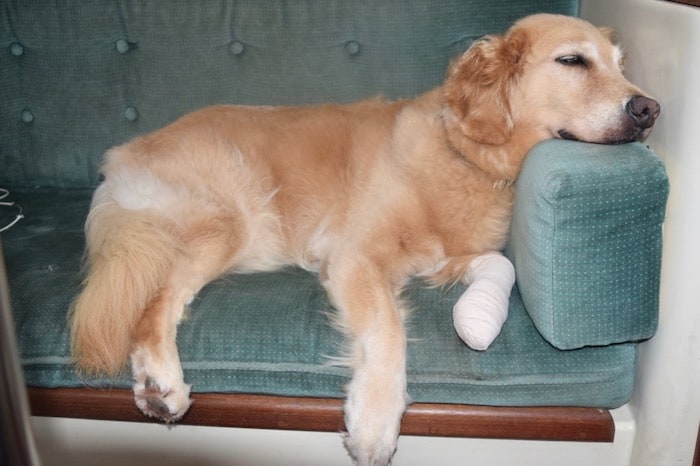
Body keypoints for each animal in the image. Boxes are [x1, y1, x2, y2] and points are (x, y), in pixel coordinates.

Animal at [74, 12, 660, 464]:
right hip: (227, 223)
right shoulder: (356, 256)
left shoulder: (445, 256)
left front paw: (475, 319)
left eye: (621, 66)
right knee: (153, 299)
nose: (650, 109)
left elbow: (503, 266)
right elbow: (388, 331)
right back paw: (160, 382)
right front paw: (375, 422)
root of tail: (117, 160)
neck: (466, 155)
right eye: (572, 61)